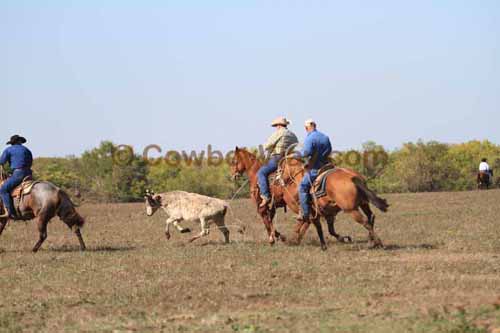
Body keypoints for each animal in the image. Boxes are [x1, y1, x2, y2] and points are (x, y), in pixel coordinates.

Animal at [231, 147, 390, 249]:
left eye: (234, 161)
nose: (233, 175)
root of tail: (353, 177)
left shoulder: (262, 207)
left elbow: (267, 222)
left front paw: (275, 238)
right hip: (363, 203)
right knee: (370, 217)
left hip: (350, 209)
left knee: (365, 221)